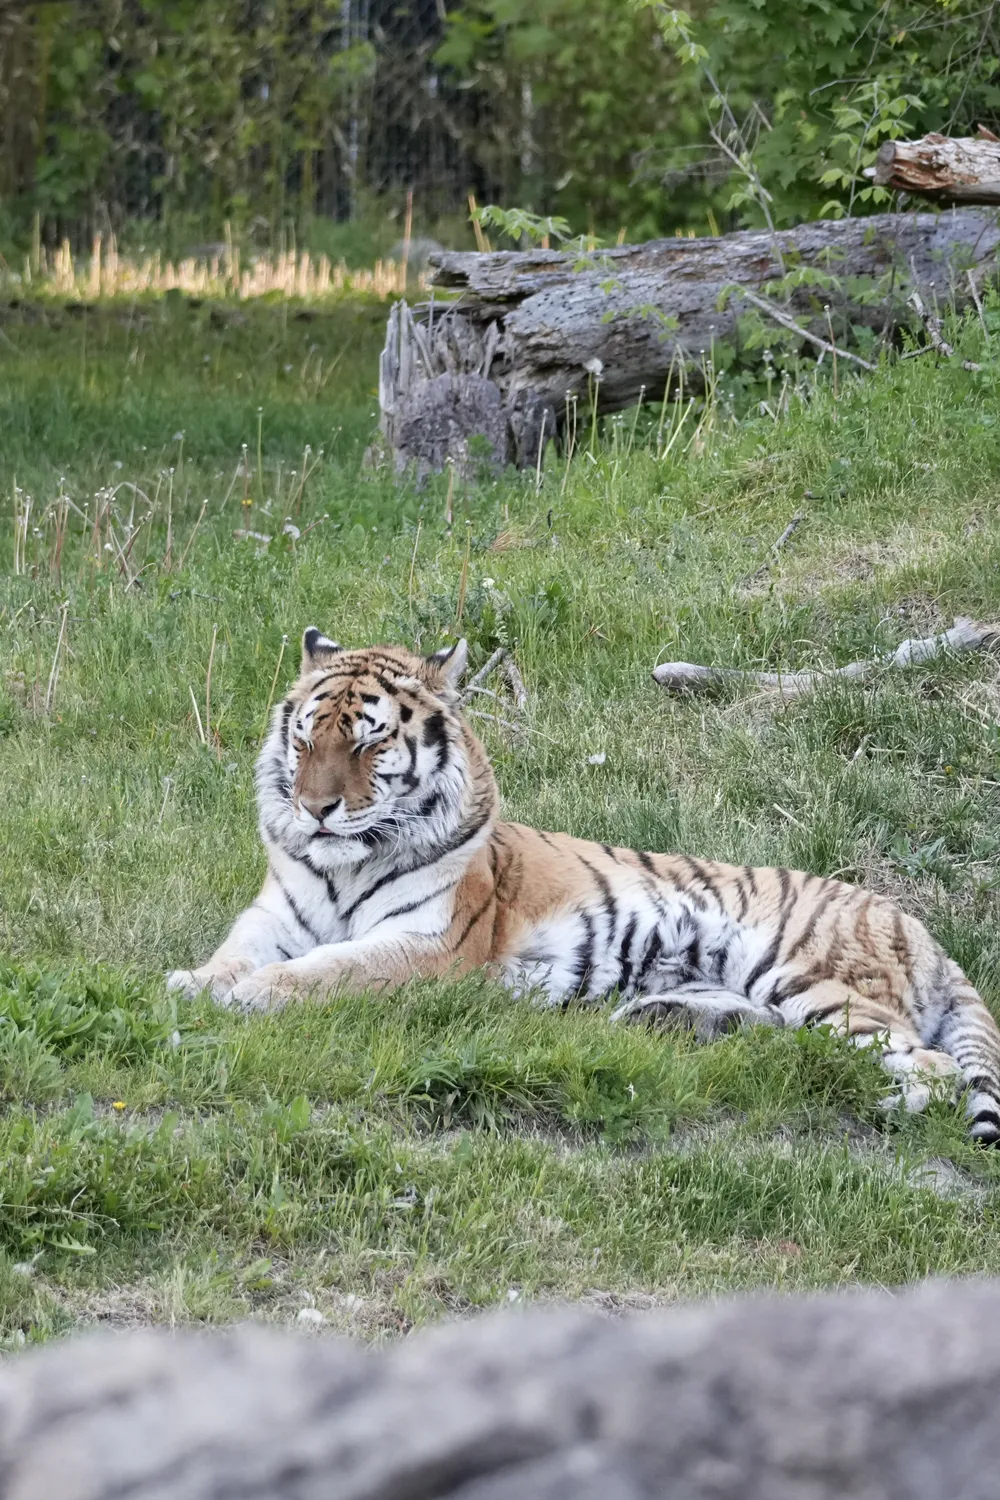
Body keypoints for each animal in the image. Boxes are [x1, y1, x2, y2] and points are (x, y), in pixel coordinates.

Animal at [167, 628, 1000, 1144]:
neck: (345, 865)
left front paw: (255, 994)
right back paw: (672, 1022)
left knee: (931, 1067)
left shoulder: (429, 945)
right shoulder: (275, 916)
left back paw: (891, 1100)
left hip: (798, 967)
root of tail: (920, 928)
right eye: (306, 739)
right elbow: (237, 952)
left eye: (370, 743)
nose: (315, 809)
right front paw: (193, 983)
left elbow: (329, 969)